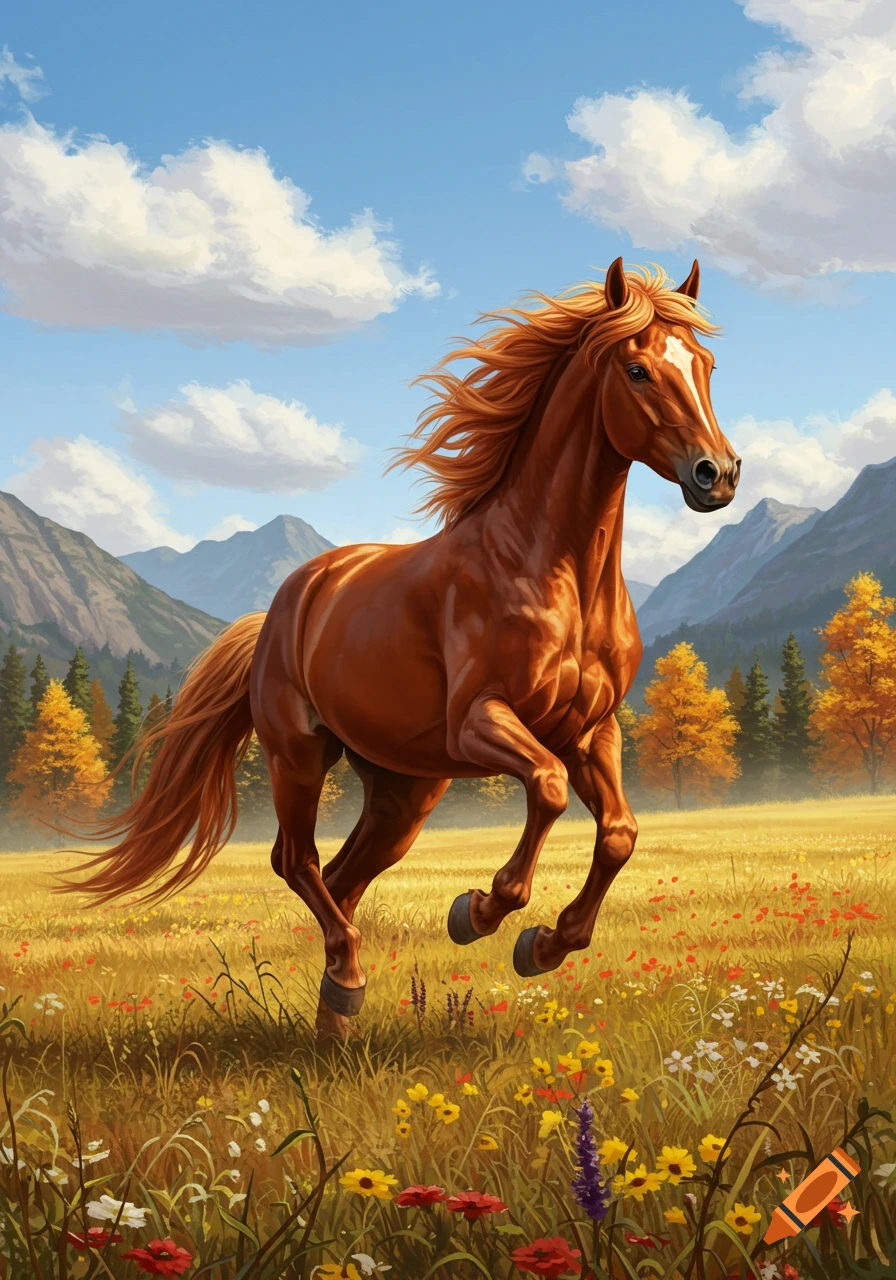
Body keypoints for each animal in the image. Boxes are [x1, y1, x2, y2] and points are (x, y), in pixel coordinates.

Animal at [66, 258, 740, 1040]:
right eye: (637, 370)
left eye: (707, 365)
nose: (718, 474)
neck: (550, 569)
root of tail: (284, 604)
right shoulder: (482, 720)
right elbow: (546, 789)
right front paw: (477, 913)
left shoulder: (591, 731)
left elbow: (621, 834)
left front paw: (544, 944)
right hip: (300, 754)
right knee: (297, 860)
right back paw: (349, 984)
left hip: (404, 791)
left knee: (342, 879)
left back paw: (336, 1013)